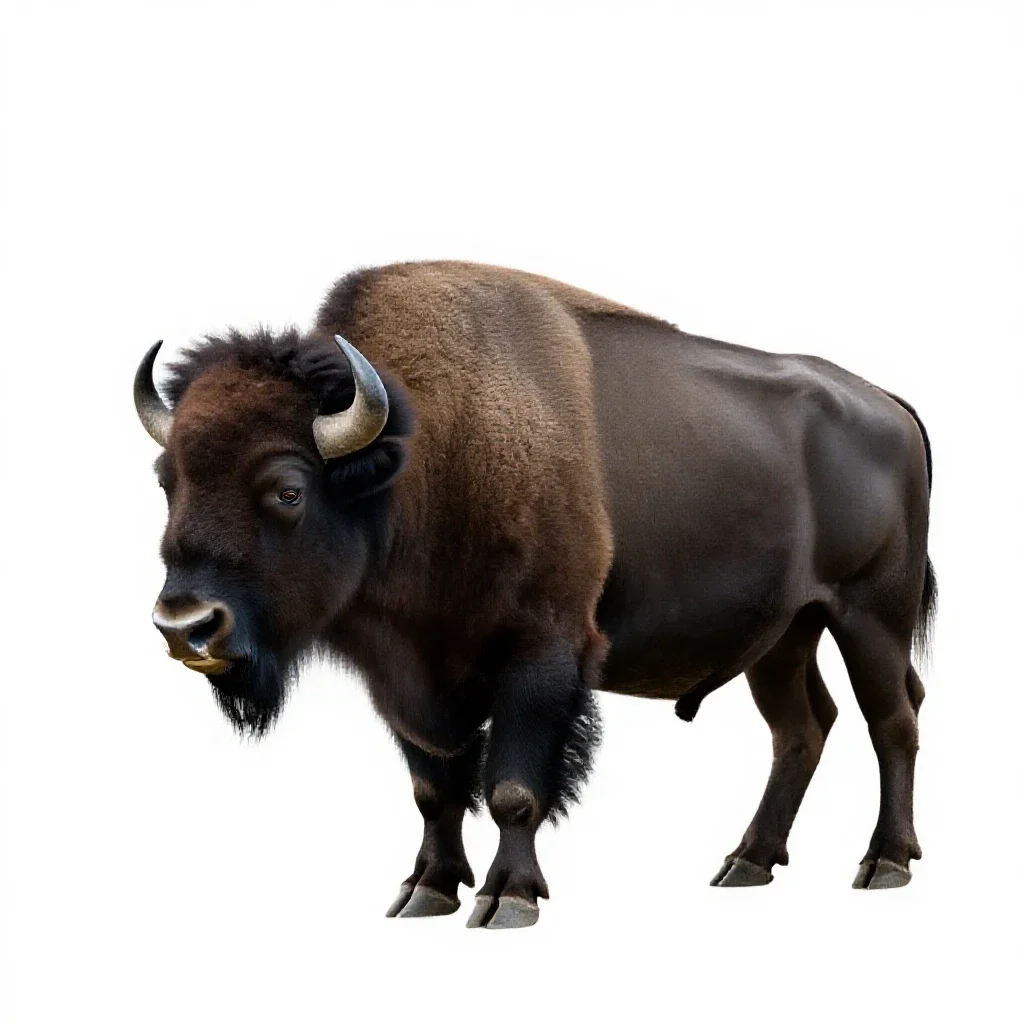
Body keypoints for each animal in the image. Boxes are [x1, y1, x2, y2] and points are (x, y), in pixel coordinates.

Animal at [135, 261, 935, 928]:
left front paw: (506, 899)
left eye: (287, 489)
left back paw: (884, 863)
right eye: (166, 480)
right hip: (784, 635)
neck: (424, 457)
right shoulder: (406, 677)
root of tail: (891, 405)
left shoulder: (541, 656)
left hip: (871, 616)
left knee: (892, 719)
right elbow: (435, 788)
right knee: (802, 728)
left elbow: (512, 788)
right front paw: (424, 891)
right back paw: (746, 863)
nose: (184, 626)